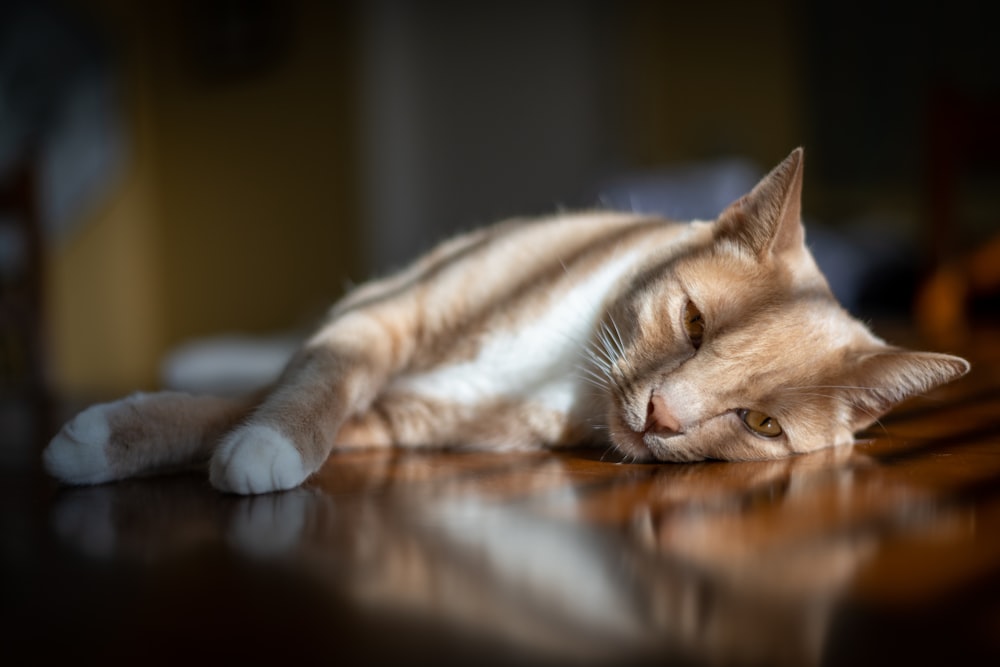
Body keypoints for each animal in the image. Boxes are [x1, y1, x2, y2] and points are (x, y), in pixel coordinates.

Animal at [45, 149, 968, 494]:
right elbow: (308, 383)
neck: (565, 363)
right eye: (695, 322)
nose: (661, 416)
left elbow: (261, 410)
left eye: (762, 423)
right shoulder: (381, 318)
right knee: (271, 355)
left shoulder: (401, 419)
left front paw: (238, 447)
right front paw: (109, 437)